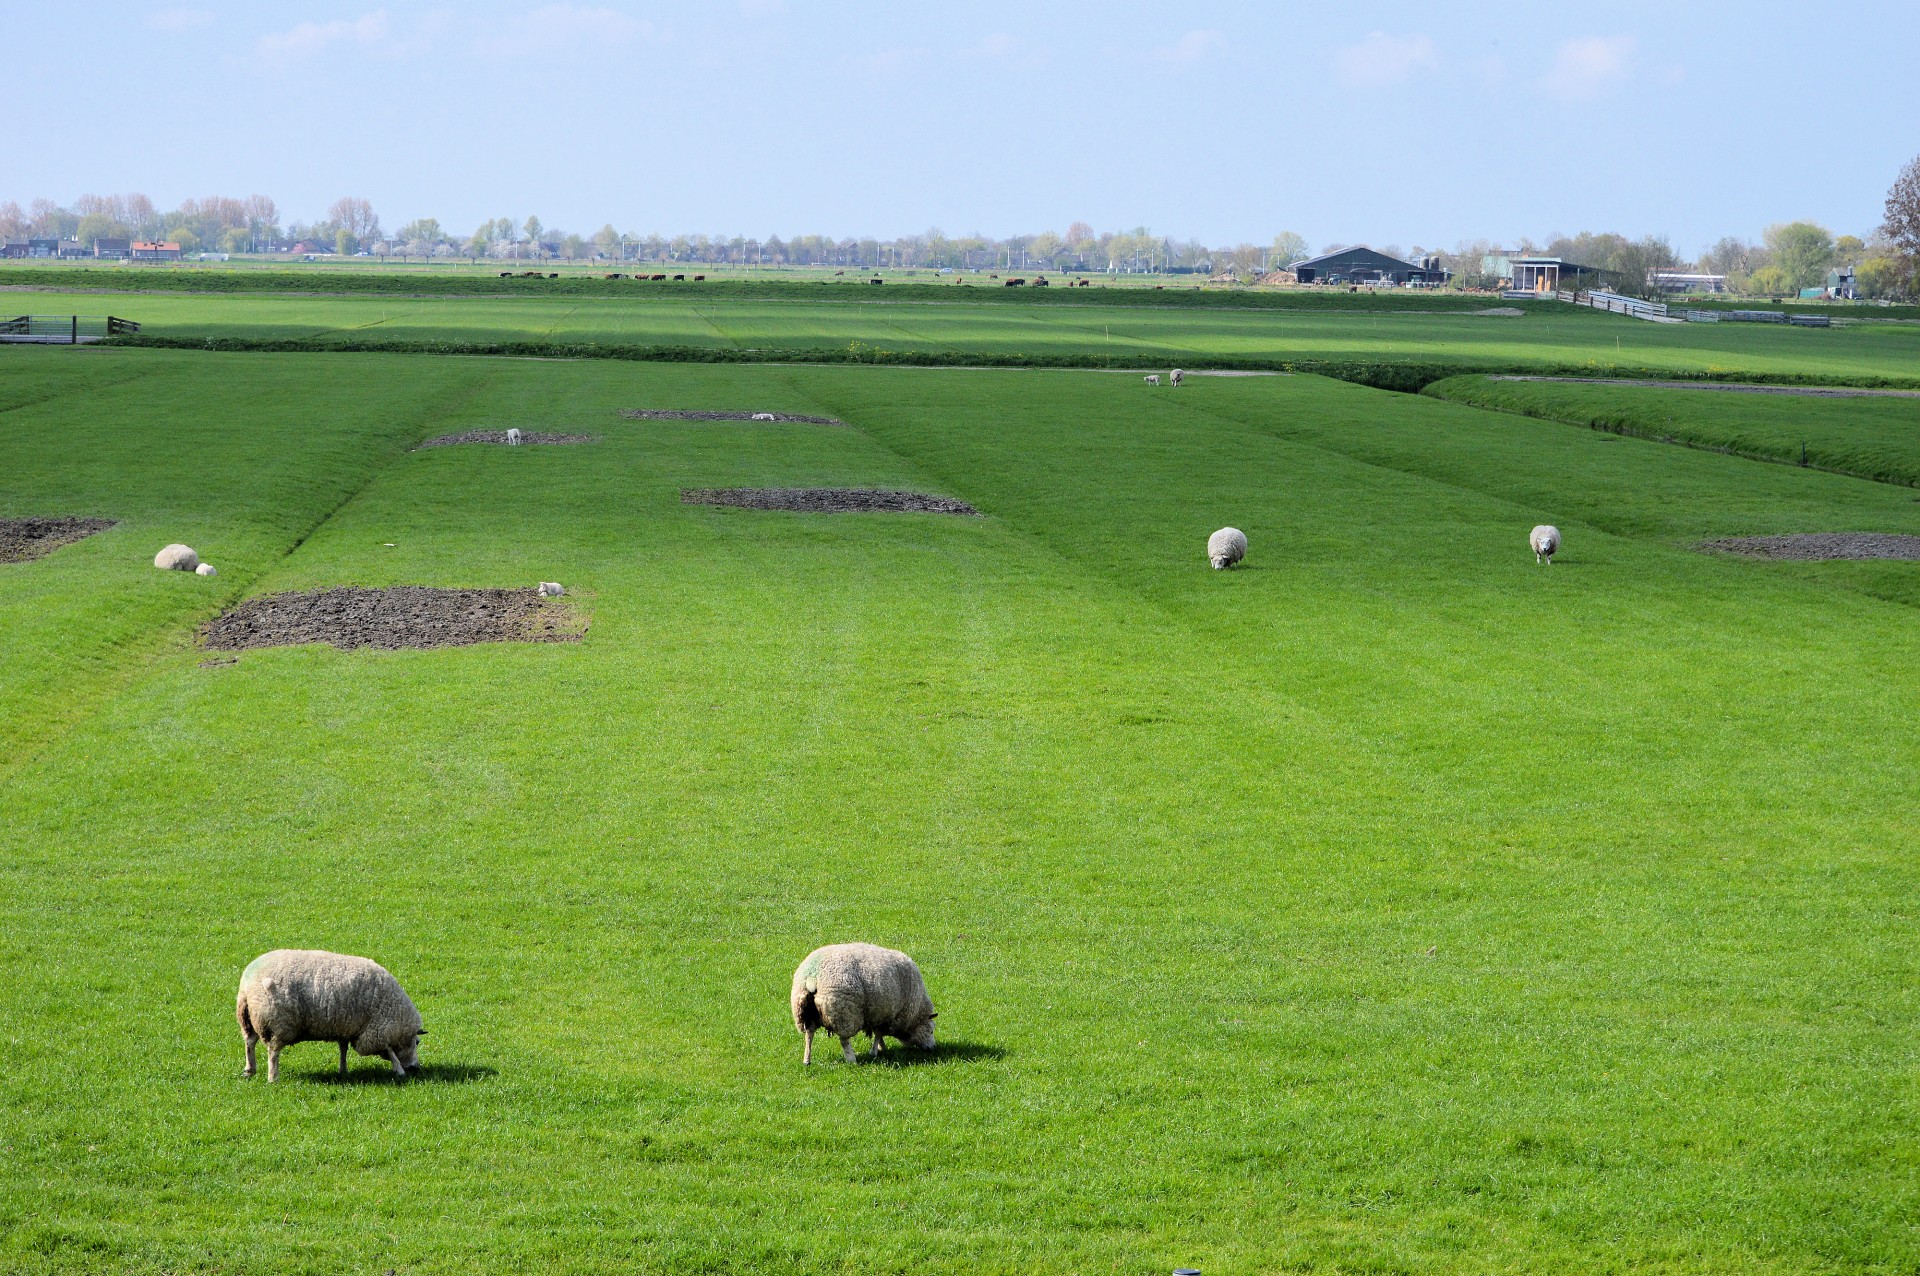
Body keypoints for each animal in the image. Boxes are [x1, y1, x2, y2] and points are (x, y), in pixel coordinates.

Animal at [236, 951, 424, 1082]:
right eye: (417, 1042)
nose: (416, 1067)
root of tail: (247, 984)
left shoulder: (347, 1027)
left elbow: (343, 1049)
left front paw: (343, 1070)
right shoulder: (377, 1030)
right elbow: (390, 1050)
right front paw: (399, 1070)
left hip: (248, 1019)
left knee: (250, 1042)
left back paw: (249, 1070)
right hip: (277, 1023)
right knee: (273, 1053)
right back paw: (273, 1078)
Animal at [787, 936, 936, 1066]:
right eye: (931, 1031)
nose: (932, 1048)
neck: (915, 1014)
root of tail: (812, 976)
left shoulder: (876, 1015)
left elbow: (877, 1034)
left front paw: (881, 1048)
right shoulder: (886, 1015)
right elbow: (878, 1034)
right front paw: (875, 1051)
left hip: (805, 1011)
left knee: (809, 1034)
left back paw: (807, 1060)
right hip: (843, 1011)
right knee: (844, 1039)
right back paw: (851, 1059)